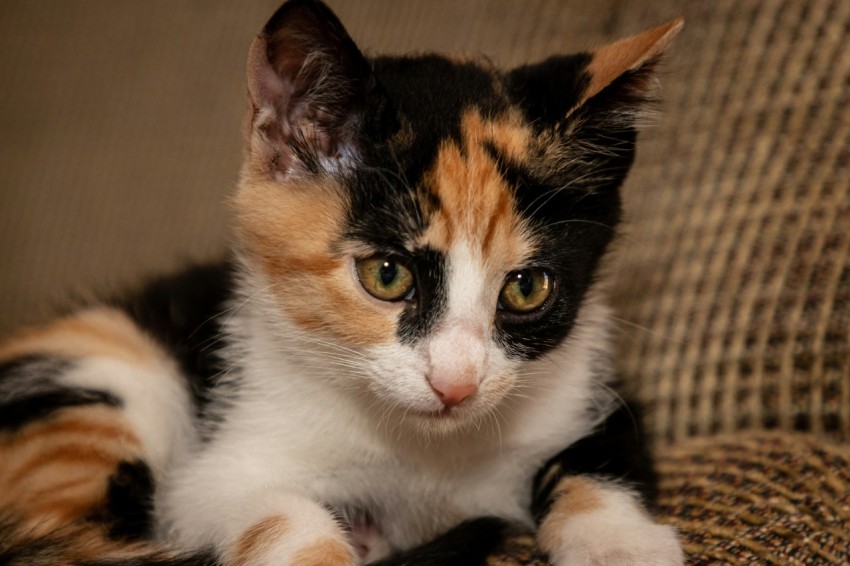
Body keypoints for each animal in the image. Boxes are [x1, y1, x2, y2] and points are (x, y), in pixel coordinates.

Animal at [0, 1, 684, 566]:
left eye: (526, 289)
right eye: (387, 275)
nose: (456, 384)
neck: (422, 454)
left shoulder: (592, 386)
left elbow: (600, 459)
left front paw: (620, 545)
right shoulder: (213, 475)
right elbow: (274, 514)